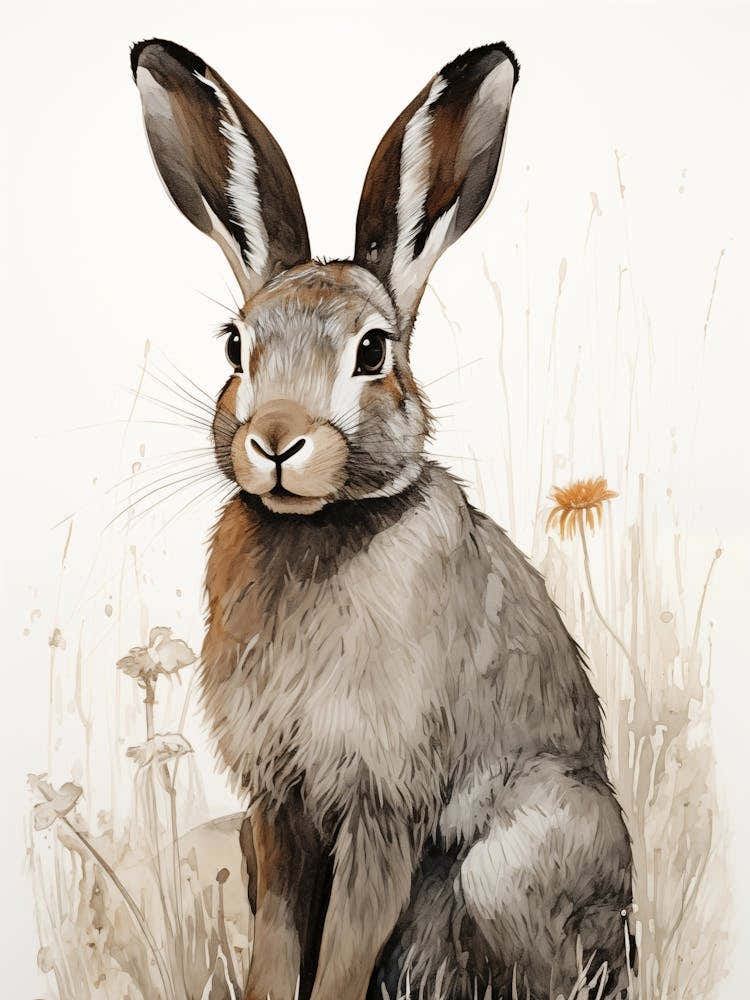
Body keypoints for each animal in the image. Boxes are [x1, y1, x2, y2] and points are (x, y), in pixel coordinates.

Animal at [131, 38, 633, 1000]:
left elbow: (344, 950)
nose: (276, 441)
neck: (322, 526)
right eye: (236, 345)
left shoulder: (383, 802)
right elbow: (280, 941)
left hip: (514, 863)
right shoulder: (278, 808)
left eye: (372, 350)